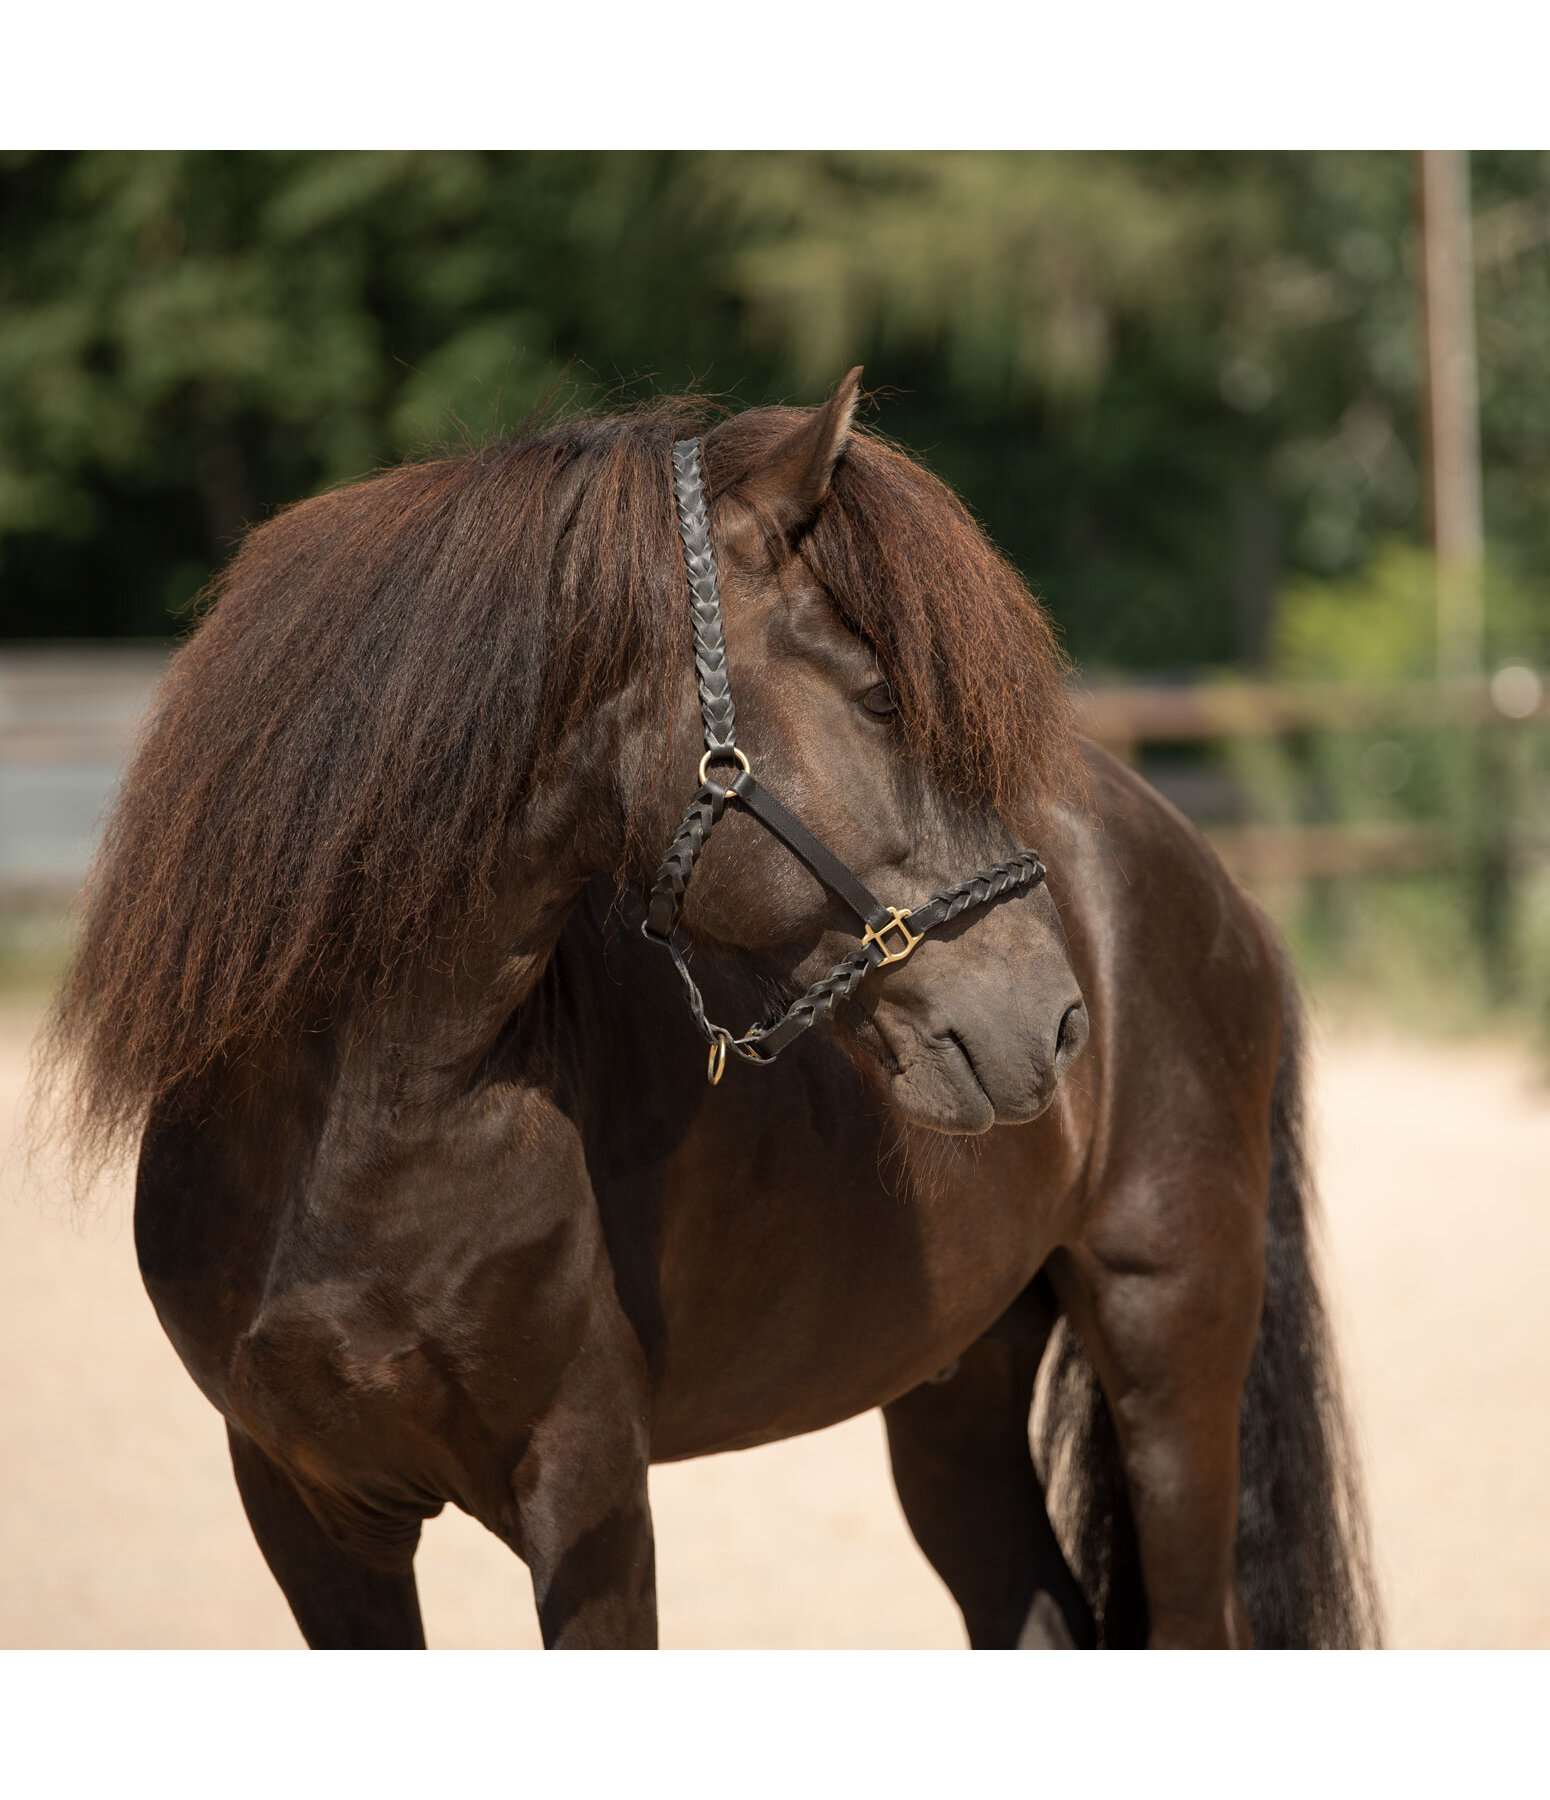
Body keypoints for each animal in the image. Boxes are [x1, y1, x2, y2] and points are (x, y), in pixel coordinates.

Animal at [45, 372, 1375, 1648]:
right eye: (879, 695)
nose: (1047, 1021)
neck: (362, 1140)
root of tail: (1205, 876)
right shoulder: (306, 1508)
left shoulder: (584, 1488)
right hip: (958, 1379)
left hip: (1170, 1344)